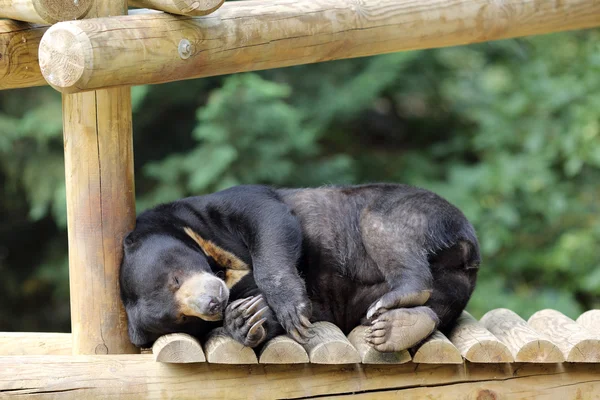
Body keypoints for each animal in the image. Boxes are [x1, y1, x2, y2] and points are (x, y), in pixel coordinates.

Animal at [119, 183, 480, 352]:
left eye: (175, 278)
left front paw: (289, 307)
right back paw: (398, 327)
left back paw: (401, 298)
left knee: (380, 225)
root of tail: (469, 250)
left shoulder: (215, 207)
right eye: (183, 317)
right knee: (434, 307)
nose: (213, 303)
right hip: (445, 286)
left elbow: (267, 217)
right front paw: (245, 318)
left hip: (415, 210)